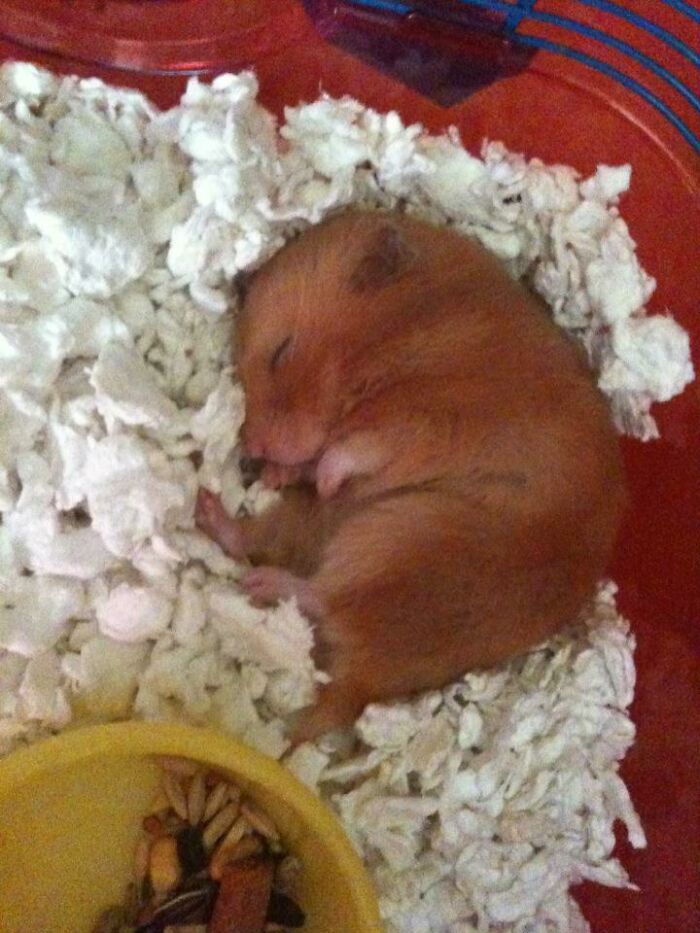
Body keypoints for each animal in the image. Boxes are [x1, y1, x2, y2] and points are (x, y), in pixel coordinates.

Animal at [196, 209, 626, 743]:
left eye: (281, 352)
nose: (252, 452)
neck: (407, 326)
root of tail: (360, 686)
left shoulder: (427, 418)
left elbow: (353, 449)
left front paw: (323, 476)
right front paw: (281, 474)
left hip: (398, 541)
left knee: (325, 600)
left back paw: (262, 581)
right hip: (334, 528)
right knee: (266, 547)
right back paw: (209, 512)